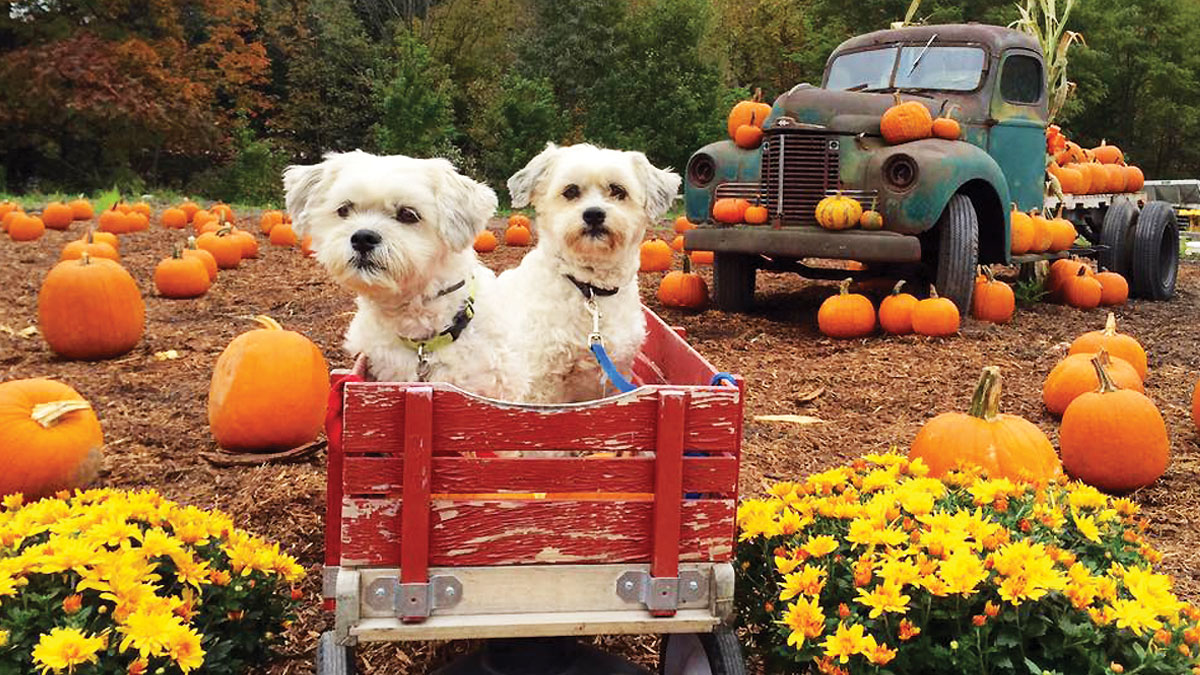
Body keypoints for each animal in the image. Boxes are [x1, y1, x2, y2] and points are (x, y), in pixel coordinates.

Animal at [496, 142, 686, 401]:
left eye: (618, 190)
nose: (594, 214)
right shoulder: (540, 381)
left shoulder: (615, 374)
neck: (590, 289)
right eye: (570, 191)